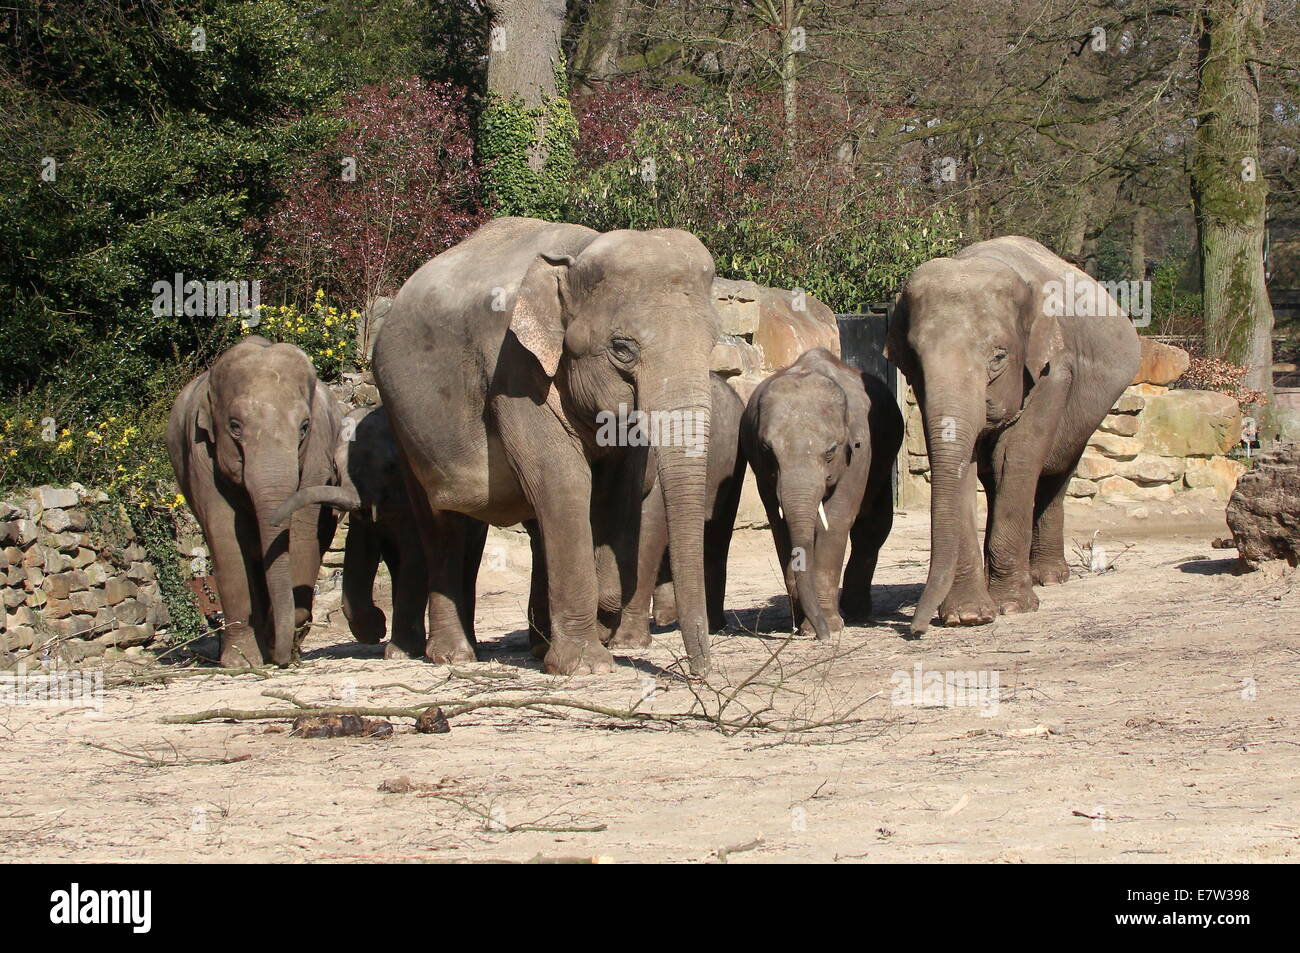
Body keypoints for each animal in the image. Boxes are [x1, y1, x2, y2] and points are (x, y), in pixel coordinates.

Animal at [165, 338, 343, 665]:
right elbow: (225, 538)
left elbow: (302, 533)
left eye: (304, 427)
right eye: (235, 426)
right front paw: (243, 661)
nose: (280, 654)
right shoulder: (200, 453)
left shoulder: (318, 450)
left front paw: (278, 643)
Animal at [271, 405, 428, 657]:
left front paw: (393, 648)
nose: (274, 521)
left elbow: (416, 556)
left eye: (392, 467)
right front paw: (376, 630)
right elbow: (359, 552)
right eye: (335, 467)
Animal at [371, 217, 728, 676]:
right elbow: (562, 478)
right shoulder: (512, 367)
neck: (579, 251)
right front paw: (587, 666)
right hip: (404, 425)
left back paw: (537, 649)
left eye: (712, 343)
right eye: (622, 348)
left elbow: (620, 483)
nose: (703, 673)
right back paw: (454, 655)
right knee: (441, 522)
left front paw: (602, 613)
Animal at [743, 345, 904, 634]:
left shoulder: (861, 453)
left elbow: (835, 521)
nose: (822, 636)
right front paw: (803, 625)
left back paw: (856, 612)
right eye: (767, 449)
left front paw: (829, 626)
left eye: (830, 451)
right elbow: (780, 527)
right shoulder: (759, 466)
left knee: (873, 527)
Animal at [883, 232, 1138, 631]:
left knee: (1057, 470)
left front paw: (1013, 607)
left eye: (998, 357)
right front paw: (968, 616)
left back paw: (1048, 577)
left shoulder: (1055, 372)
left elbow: (1016, 456)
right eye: (914, 358)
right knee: (993, 480)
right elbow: (963, 463)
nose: (915, 628)